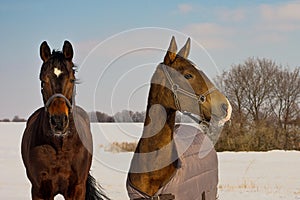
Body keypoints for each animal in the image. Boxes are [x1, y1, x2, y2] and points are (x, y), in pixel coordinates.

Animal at [21, 41, 110, 200]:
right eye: (43, 80)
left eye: (72, 79)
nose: (58, 121)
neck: (60, 147)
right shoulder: (39, 190)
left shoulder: (77, 189)